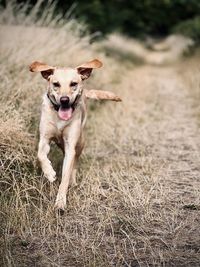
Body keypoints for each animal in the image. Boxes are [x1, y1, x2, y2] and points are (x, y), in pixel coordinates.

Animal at [29, 59, 120, 213]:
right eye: (56, 84)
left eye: (73, 84)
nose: (64, 99)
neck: (60, 118)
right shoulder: (45, 139)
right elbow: (40, 155)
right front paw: (49, 173)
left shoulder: (70, 145)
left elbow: (65, 176)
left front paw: (60, 202)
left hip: (80, 142)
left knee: (75, 162)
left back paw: (73, 180)